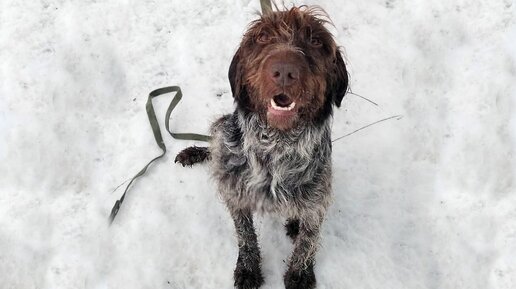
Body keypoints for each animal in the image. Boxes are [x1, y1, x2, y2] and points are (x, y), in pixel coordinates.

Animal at [175, 5, 348, 288]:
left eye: (316, 41)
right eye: (263, 37)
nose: (285, 71)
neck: (277, 147)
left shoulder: (317, 200)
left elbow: (308, 239)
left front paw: (300, 273)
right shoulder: (235, 193)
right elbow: (245, 235)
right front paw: (248, 268)